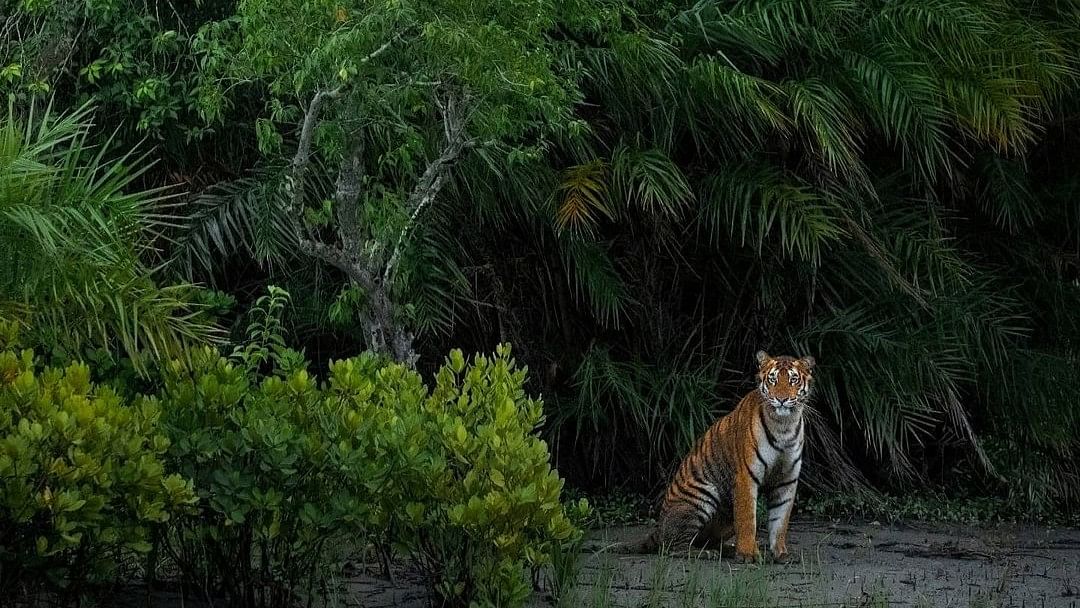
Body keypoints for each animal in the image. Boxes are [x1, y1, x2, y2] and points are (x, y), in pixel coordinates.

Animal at [617, 352, 812, 565]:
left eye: (793, 379)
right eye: (773, 380)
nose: (782, 399)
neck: (784, 424)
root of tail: (658, 528)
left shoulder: (787, 480)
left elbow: (780, 522)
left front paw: (781, 554)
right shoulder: (746, 477)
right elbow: (747, 520)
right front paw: (748, 555)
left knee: (705, 541)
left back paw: (726, 550)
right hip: (702, 495)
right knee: (672, 547)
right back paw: (707, 554)